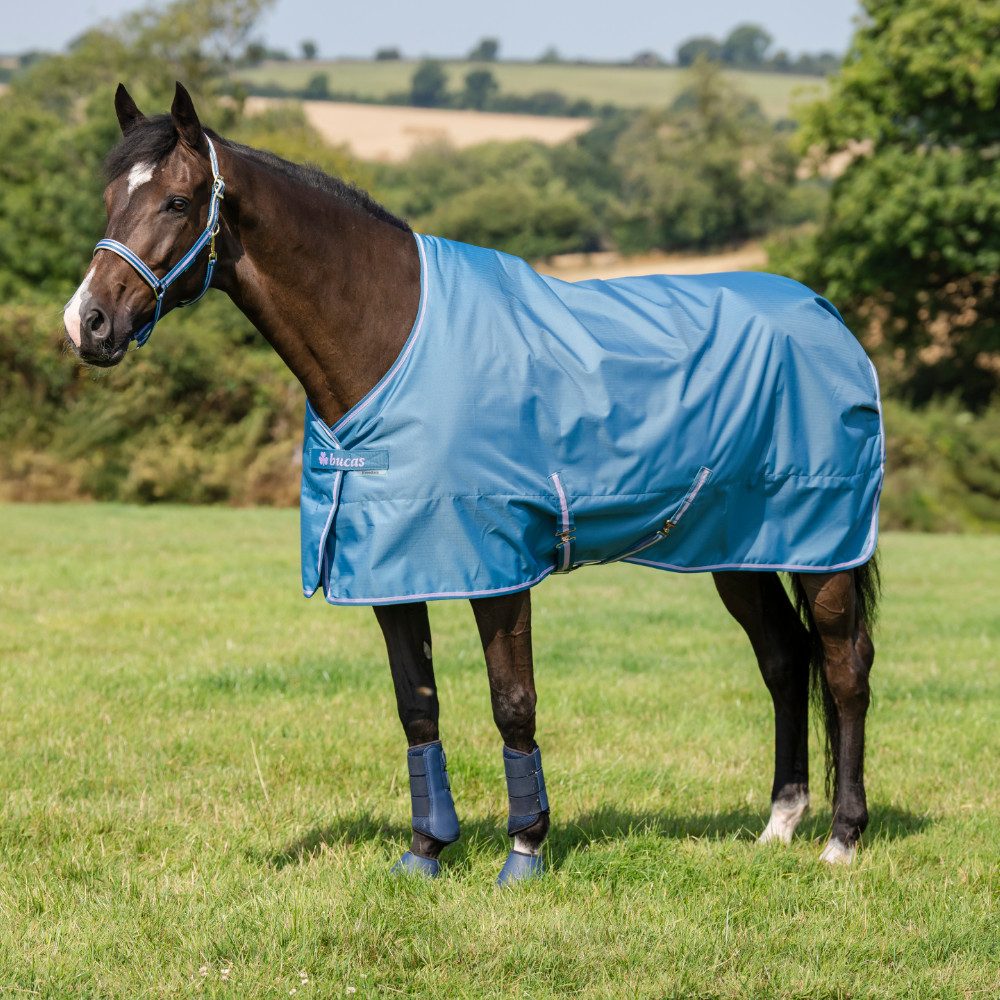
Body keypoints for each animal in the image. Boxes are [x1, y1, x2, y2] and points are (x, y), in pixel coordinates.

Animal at [63, 83, 882, 882]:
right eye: (108, 200)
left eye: (177, 201)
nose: (87, 323)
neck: (392, 339)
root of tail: (828, 318)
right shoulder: (389, 571)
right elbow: (417, 707)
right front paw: (426, 851)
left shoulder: (498, 568)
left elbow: (512, 701)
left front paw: (525, 850)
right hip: (741, 548)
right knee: (784, 661)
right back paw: (778, 825)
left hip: (826, 551)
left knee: (844, 669)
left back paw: (842, 838)